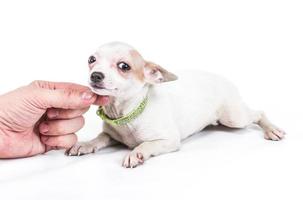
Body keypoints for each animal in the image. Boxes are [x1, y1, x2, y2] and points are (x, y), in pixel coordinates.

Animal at [66, 41, 284, 168]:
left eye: (123, 66)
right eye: (91, 60)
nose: (95, 75)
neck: (126, 114)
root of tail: (224, 80)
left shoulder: (168, 140)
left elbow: (146, 144)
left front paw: (136, 154)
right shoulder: (111, 135)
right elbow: (100, 138)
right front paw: (85, 144)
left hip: (234, 118)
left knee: (258, 113)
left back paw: (272, 129)